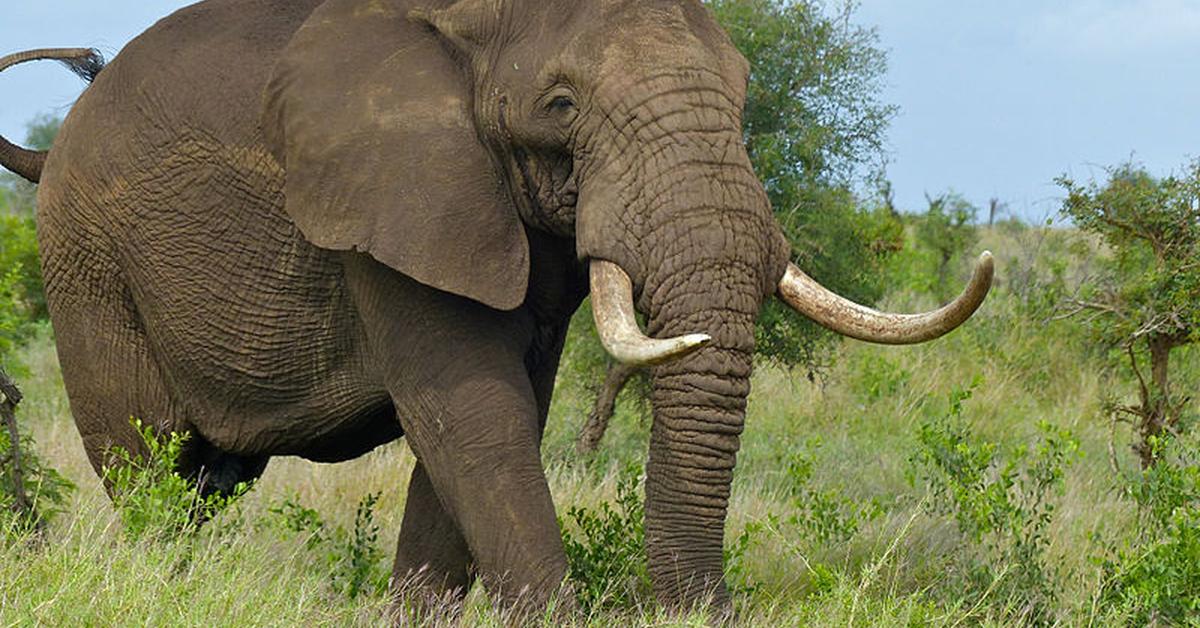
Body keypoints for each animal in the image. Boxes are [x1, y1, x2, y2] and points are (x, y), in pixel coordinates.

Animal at [0, 0, 993, 614]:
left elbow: (496, 420)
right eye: (560, 105)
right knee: (148, 466)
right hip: (87, 263)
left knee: (211, 480)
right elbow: (474, 414)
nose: (703, 610)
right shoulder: (384, 199)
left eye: (746, 93)